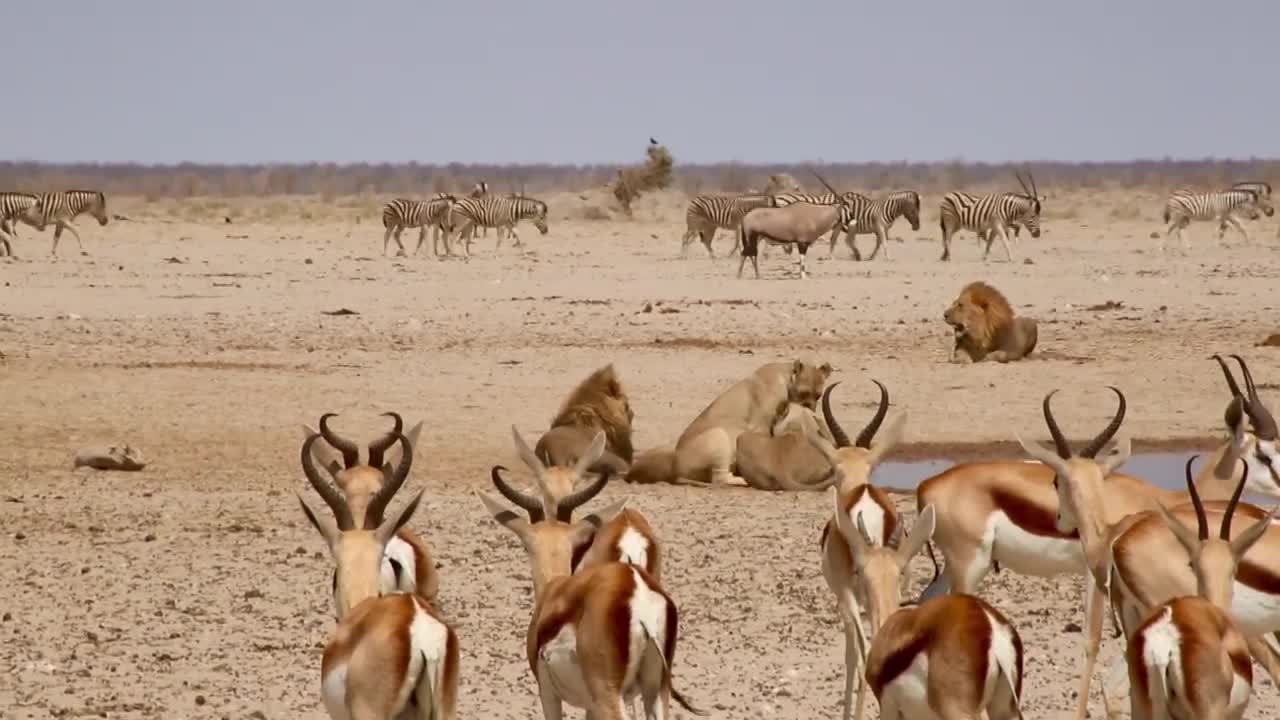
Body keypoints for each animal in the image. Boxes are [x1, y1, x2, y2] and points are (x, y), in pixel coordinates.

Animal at [627, 358, 829, 486]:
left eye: (818, 395)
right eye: (803, 393)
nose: (810, 406)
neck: (787, 379)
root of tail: (677, 469)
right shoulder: (761, 427)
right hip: (719, 437)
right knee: (720, 478)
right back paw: (742, 480)